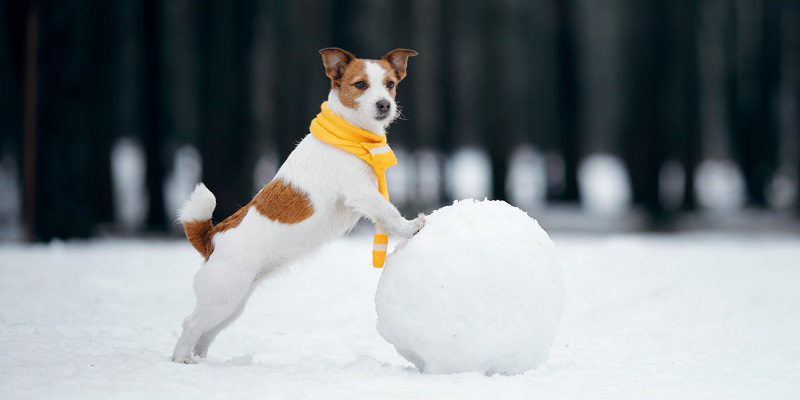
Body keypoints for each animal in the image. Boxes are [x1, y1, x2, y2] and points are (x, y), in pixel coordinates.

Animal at [171, 48, 422, 364]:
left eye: (390, 84)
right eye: (360, 84)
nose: (385, 105)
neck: (351, 135)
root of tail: (211, 239)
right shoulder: (362, 193)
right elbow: (388, 211)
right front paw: (411, 227)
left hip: (233, 303)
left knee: (206, 333)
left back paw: (203, 360)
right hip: (222, 296)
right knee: (190, 324)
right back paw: (181, 359)